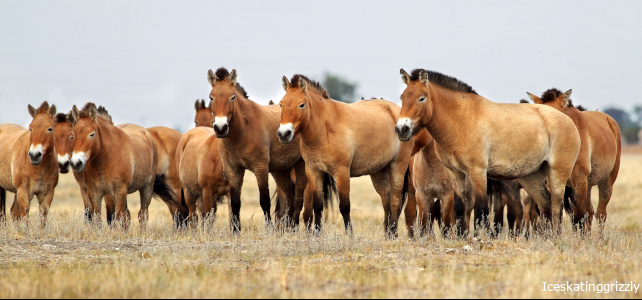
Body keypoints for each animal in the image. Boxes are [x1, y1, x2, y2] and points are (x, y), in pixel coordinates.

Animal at [208, 68, 318, 232]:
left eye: (232, 97)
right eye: (211, 97)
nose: (220, 128)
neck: (243, 130)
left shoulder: (260, 168)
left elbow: (264, 201)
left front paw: (269, 230)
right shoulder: (232, 170)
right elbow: (235, 203)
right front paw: (235, 231)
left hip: (300, 167)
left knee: (298, 197)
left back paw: (292, 227)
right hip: (281, 170)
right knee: (289, 196)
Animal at [278, 73, 412, 237]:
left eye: (301, 105)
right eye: (281, 104)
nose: (284, 134)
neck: (324, 129)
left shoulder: (341, 173)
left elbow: (344, 206)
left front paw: (349, 235)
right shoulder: (314, 172)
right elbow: (318, 206)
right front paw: (317, 235)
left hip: (398, 166)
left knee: (395, 200)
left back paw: (393, 233)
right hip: (379, 172)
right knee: (386, 200)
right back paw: (387, 234)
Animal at [396, 69, 580, 236]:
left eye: (421, 98)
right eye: (402, 97)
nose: (401, 129)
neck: (461, 119)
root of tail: (568, 121)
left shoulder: (477, 172)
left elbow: (481, 210)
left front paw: (481, 238)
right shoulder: (455, 173)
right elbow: (460, 208)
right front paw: (461, 237)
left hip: (557, 174)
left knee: (556, 207)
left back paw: (555, 238)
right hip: (531, 176)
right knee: (545, 205)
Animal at [524, 88, 620, 231]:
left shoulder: (579, 180)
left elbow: (578, 216)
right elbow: (558, 212)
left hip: (606, 182)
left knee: (600, 214)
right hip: (589, 185)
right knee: (590, 212)